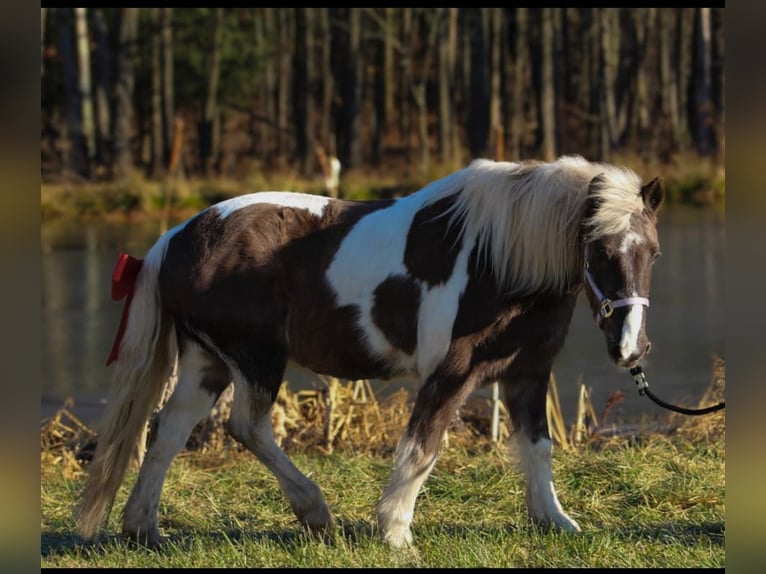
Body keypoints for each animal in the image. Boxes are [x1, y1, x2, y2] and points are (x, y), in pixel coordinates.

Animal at [78, 155, 664, 552]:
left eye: (653, 252)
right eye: (599, 250)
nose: (631, 346)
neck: (498, 257)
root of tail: (174, 238)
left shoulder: (527, 372)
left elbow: (538, 446)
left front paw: (554, 521)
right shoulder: (451, 374)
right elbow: (422, 448)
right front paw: (396, 531)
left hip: (208, 362)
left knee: (168, 430)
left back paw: (143, 528)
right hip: (253, 357)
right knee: (247, 426)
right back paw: (314, 512)